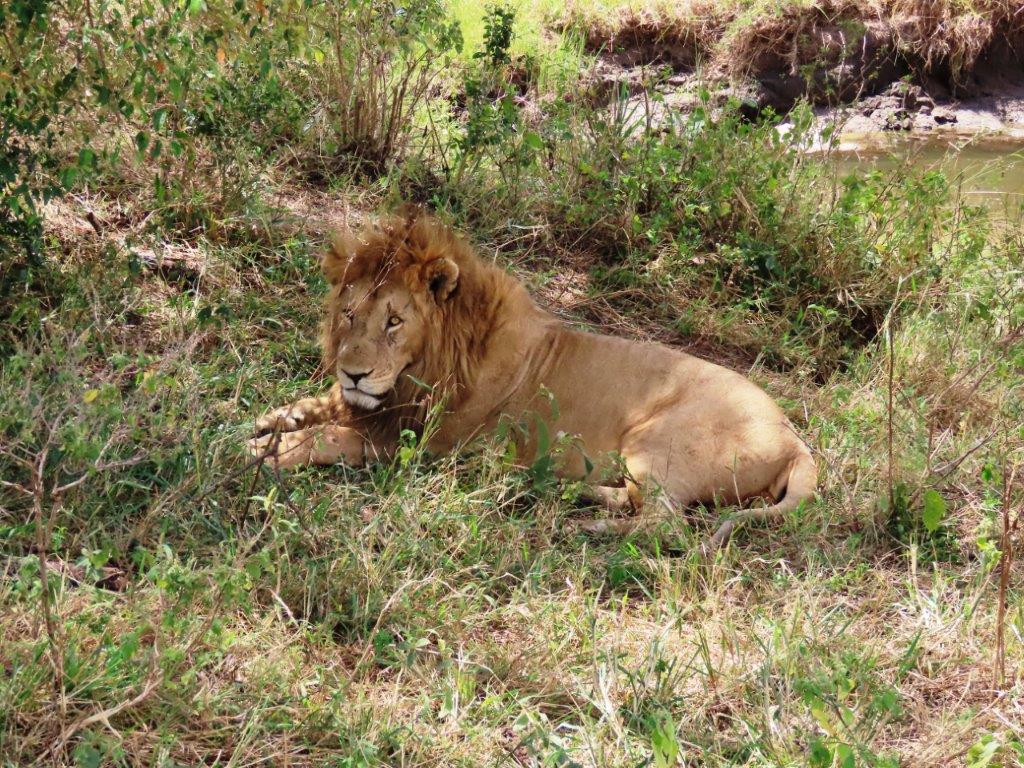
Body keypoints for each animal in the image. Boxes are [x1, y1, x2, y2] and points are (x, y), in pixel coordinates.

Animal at [248, 210, 817, 549]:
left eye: (393, 321)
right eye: (349, 314)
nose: (354, 371)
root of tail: (795, 440)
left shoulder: (422, 444)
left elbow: (333, 435)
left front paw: (266, 450)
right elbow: (322, 407)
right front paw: (272, 419)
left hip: (656, 439)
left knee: (666, 522)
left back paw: (586, 524)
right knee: (640, 502)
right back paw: (570, 491)